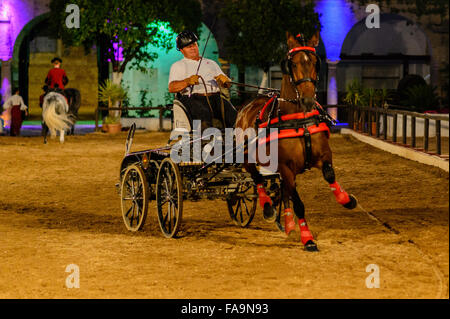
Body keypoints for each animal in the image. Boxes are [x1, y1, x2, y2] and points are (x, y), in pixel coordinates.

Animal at [234, 32, 356, 252]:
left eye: (315, 62)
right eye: (293, 63)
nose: (308, 100)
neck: (298, 120)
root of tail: (245, 107)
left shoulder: (323, 155)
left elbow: (329, 175)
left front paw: (347, 199)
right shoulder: (285, 167)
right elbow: (299, 203)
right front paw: (308, 238)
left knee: (283, 190)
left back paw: (288, 221)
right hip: (247, 158)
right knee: (257, 179)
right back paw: (268, 209)